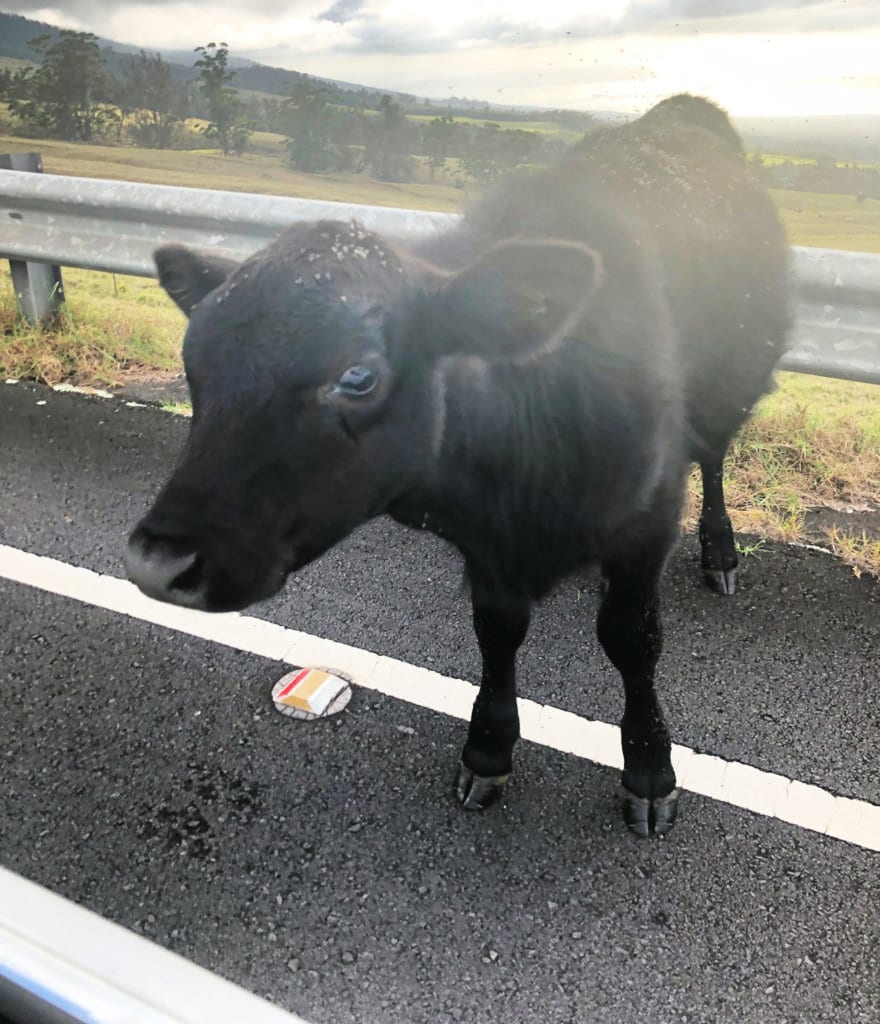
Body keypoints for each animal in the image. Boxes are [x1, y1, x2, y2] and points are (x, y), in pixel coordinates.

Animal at [126, 95, 789, 837]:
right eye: (194, 359)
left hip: (728, 397)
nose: (158, 561)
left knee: (715, 460)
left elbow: (632, 638)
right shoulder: (485, 545)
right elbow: (497, 634)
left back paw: (720, 552)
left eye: (358, 375)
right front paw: (488, 748)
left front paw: (649, 768)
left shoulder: (647, 517)